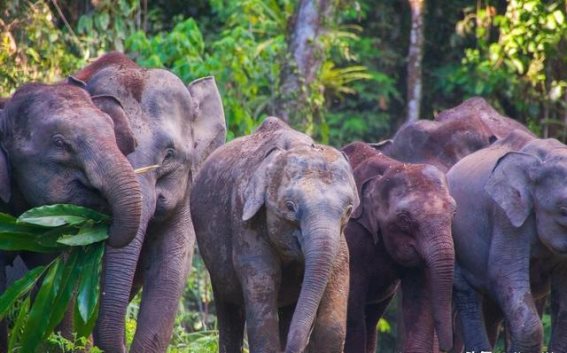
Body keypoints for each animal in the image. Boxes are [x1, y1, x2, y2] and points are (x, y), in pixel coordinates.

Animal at [191, 117, 360, 352]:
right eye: (290, 206)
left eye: (348, 210)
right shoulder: (244, 218)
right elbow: (262, 288)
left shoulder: (340, 242)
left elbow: (332, 326)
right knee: (229, 307)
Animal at [342, 141, 458, 352]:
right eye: (404, 219)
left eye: (453, 213)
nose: (446, 347)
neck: (388, 167)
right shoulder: (351, 237)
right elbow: (351, 310)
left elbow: (419, 303)